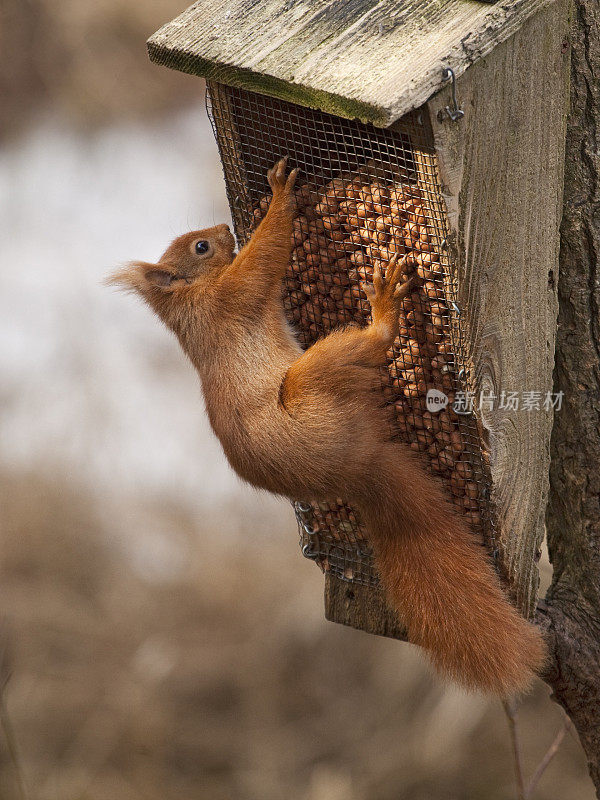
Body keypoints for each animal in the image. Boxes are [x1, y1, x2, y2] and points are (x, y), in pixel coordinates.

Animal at [110, 158, 548, 692]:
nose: (221, 230)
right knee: (367, 346)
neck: (190, 302)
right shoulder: (233, 297)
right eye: (201, 248)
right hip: (315, 386)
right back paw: (384, 310)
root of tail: (356, 467)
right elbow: (264, 259)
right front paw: (280, 195)